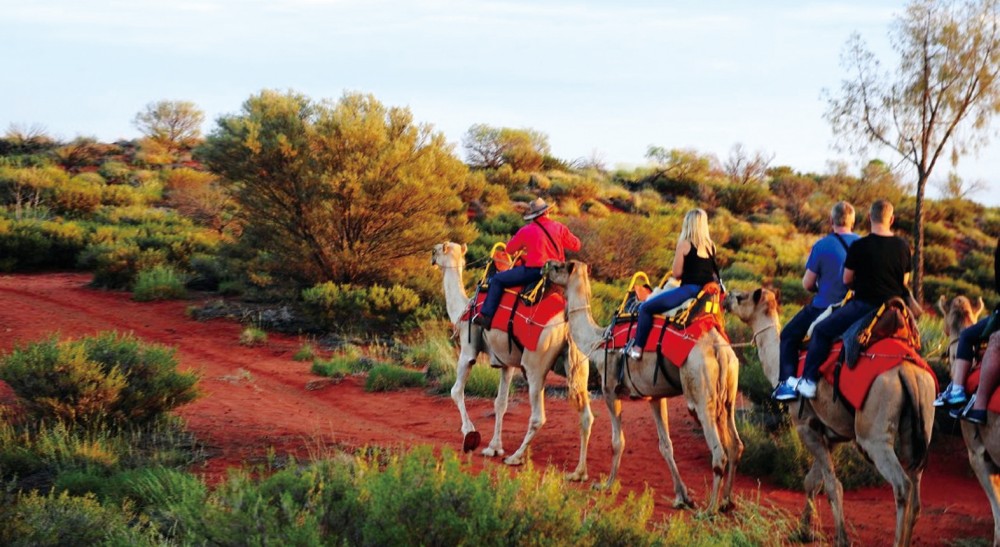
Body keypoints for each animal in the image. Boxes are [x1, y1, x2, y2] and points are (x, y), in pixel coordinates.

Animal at [432, 241, 592, 480]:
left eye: (439, 249)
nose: (431, 256)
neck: (463, 307)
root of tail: (565, 323)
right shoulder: (505, 363)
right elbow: (500, 403)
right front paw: (493, 448)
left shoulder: (468, 350)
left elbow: (456, 391)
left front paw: (470, 434)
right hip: (580, 363)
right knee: (586, 415)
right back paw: (578, 472)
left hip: (535, 365)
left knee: (538, 416)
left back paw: (515, 457)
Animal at [548, 260, 744, 512]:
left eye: (561, 266)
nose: (546, 266)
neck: (599, 341)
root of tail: (718, 350)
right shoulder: (654, 396)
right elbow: (666, 445)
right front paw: (682, 497)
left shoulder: (610, 390)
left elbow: (617, 441)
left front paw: (606, 484)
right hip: (728, 392)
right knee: (735, 444)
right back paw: (727, 502)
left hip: (701, 395)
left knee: (719, 452)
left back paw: (708, 510)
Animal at [724, 288, 932, 544]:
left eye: (741, 297)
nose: (727, 298)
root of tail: (907, 372)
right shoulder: (830, 434)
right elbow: (813, 481)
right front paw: (803, 531)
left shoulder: (805, 425)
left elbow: (833, 486)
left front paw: (841, 538)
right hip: (920, 425)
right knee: (916, 490)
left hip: (874, 433)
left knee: (902, 485)